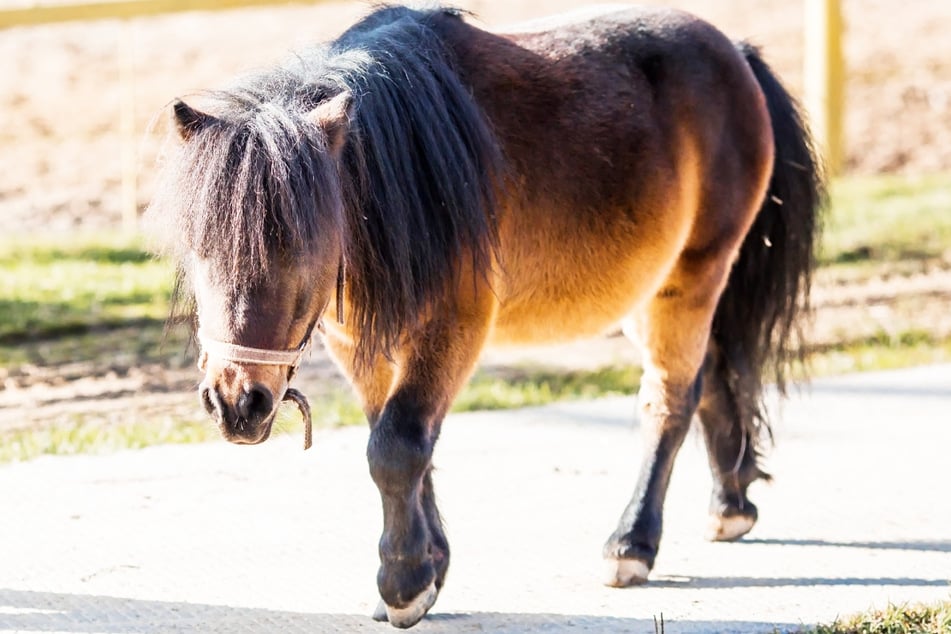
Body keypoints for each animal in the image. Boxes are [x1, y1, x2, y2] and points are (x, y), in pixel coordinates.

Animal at [147, 4, 822, 628]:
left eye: (302, 245)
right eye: (199, 247)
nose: (237, 403)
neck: (401, 177)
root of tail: (734, 53)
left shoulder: (453, 329)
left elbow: (397, 447)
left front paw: (403, 584)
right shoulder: (358, 343)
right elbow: (401, 445)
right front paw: (430, 566)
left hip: (691, 279)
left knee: (671, 401)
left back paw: (632, 543)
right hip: (647, 292)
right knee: (710, 374)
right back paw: (729, 504)